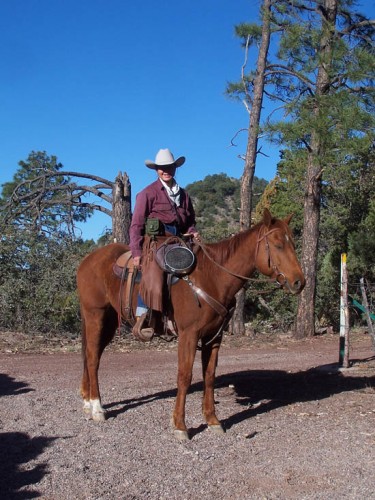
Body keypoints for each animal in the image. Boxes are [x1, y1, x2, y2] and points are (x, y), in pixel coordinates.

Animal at [76, 209, 306, 440]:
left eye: (292, 243)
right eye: (277, 244)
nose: (299, 282)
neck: (213, 278)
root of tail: (87, 260)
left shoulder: (214, 337)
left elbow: (209, 375)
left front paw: (212, 420)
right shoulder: (189, 335)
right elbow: (184, 376)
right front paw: (180, 425)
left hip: (107, 321)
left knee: (90, 355)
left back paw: (87, 402)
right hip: (95, 315)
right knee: (93, 358)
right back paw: (97, 408)